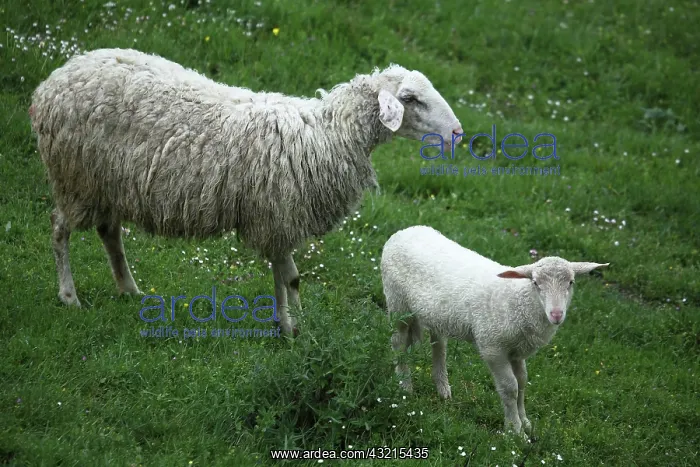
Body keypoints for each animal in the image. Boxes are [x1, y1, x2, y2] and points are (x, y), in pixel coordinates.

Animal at [29, 48, 464, 335]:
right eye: (409, 99)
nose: (458, 133)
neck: (328, 134)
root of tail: (52, 81)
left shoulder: (275, 219)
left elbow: (281, 276)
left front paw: (286, 322)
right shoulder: (279, 213)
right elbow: (292, 277)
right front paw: (296, 328)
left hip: (107, 182)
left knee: (108, 232)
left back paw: (128, 289)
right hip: (74, 176)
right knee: (59, 229)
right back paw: (69, 297)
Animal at [380, 225, 609, 435]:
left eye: (571, 282)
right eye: (536, 283)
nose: (556, 314)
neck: (519, 300)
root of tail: (405, 230)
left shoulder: (517, 351)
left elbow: (522, 382)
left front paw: (525, 422)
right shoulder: (493, 347)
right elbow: (510, 388)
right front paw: (515, 431)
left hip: (435, 314)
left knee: (439, 345)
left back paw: (443, 388)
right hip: (397, 302)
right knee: (398, 343)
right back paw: (405, 386)